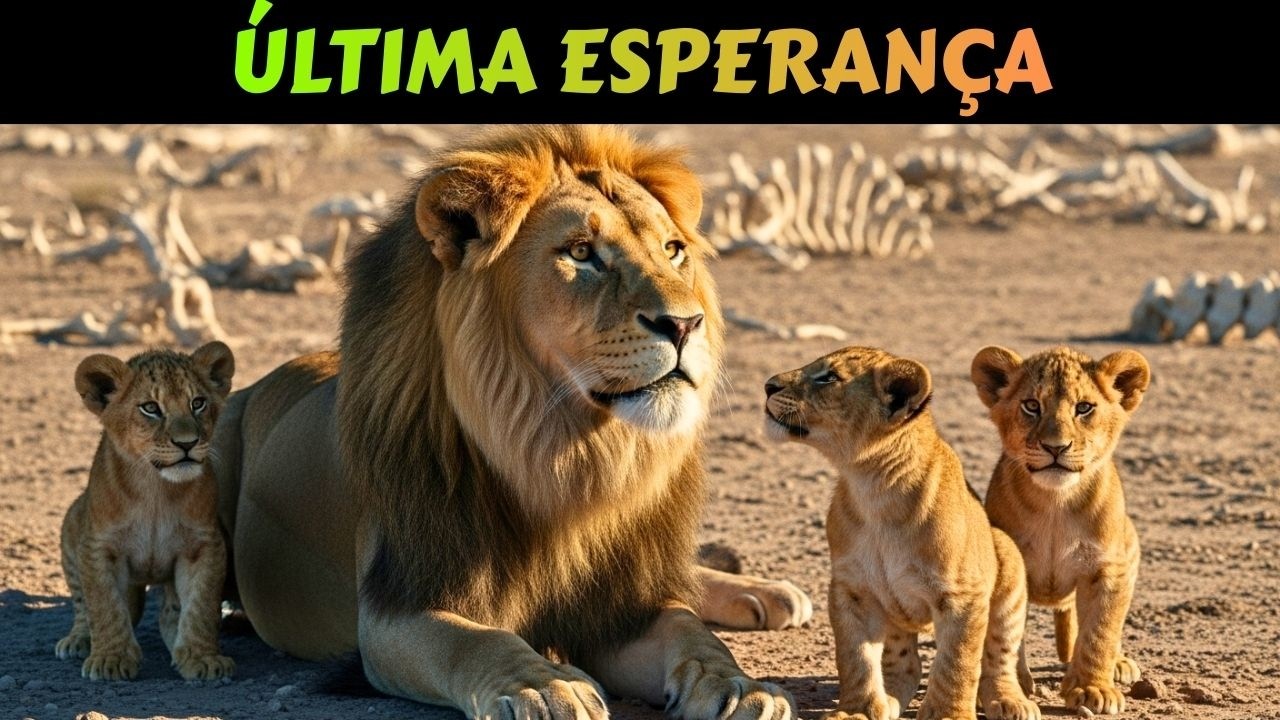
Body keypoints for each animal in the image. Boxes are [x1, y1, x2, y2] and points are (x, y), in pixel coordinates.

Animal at [57, 341, 236, 681]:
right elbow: (104, 605)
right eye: (151, 408)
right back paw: (78, 640)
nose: (187, 443)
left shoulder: (204, 545)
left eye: (198, 403)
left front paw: (201, 658)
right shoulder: (98, 545)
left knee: (169, 610)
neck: (156, 490)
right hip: (72, 521)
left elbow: (201, 606)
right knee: (83, 605)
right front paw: (111, 660)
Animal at [212, 125, 807, 720]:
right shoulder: (394, 608)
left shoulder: (620, 607)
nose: (686, 324)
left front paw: (739, 685)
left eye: (672, 250)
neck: (563, 456)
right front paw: (543, 686)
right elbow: (478, 640)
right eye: (581, 252)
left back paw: (768, 592)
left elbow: (690, 630)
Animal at [765, 346, 1040, 720]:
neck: (873, 485)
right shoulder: (852, 589)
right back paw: (890, 699)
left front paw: (948, 714)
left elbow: (957, 661)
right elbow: (855, 658)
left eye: (829, 377)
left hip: (1007, 562)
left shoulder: (963, 595)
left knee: (999, 656)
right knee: (906, 665)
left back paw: (1010, 701)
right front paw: (857, 711)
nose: (768, 385)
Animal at [970, 346, 1150, 715]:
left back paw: (1119, 664)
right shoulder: (1012, 565)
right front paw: (1016, 687)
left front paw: (1093, 689)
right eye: (1031, 406)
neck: (1056, 504)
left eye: (1084, 408)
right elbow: (1010, 631)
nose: (1056, 447)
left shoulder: (1108, 569)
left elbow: (1099, 631)